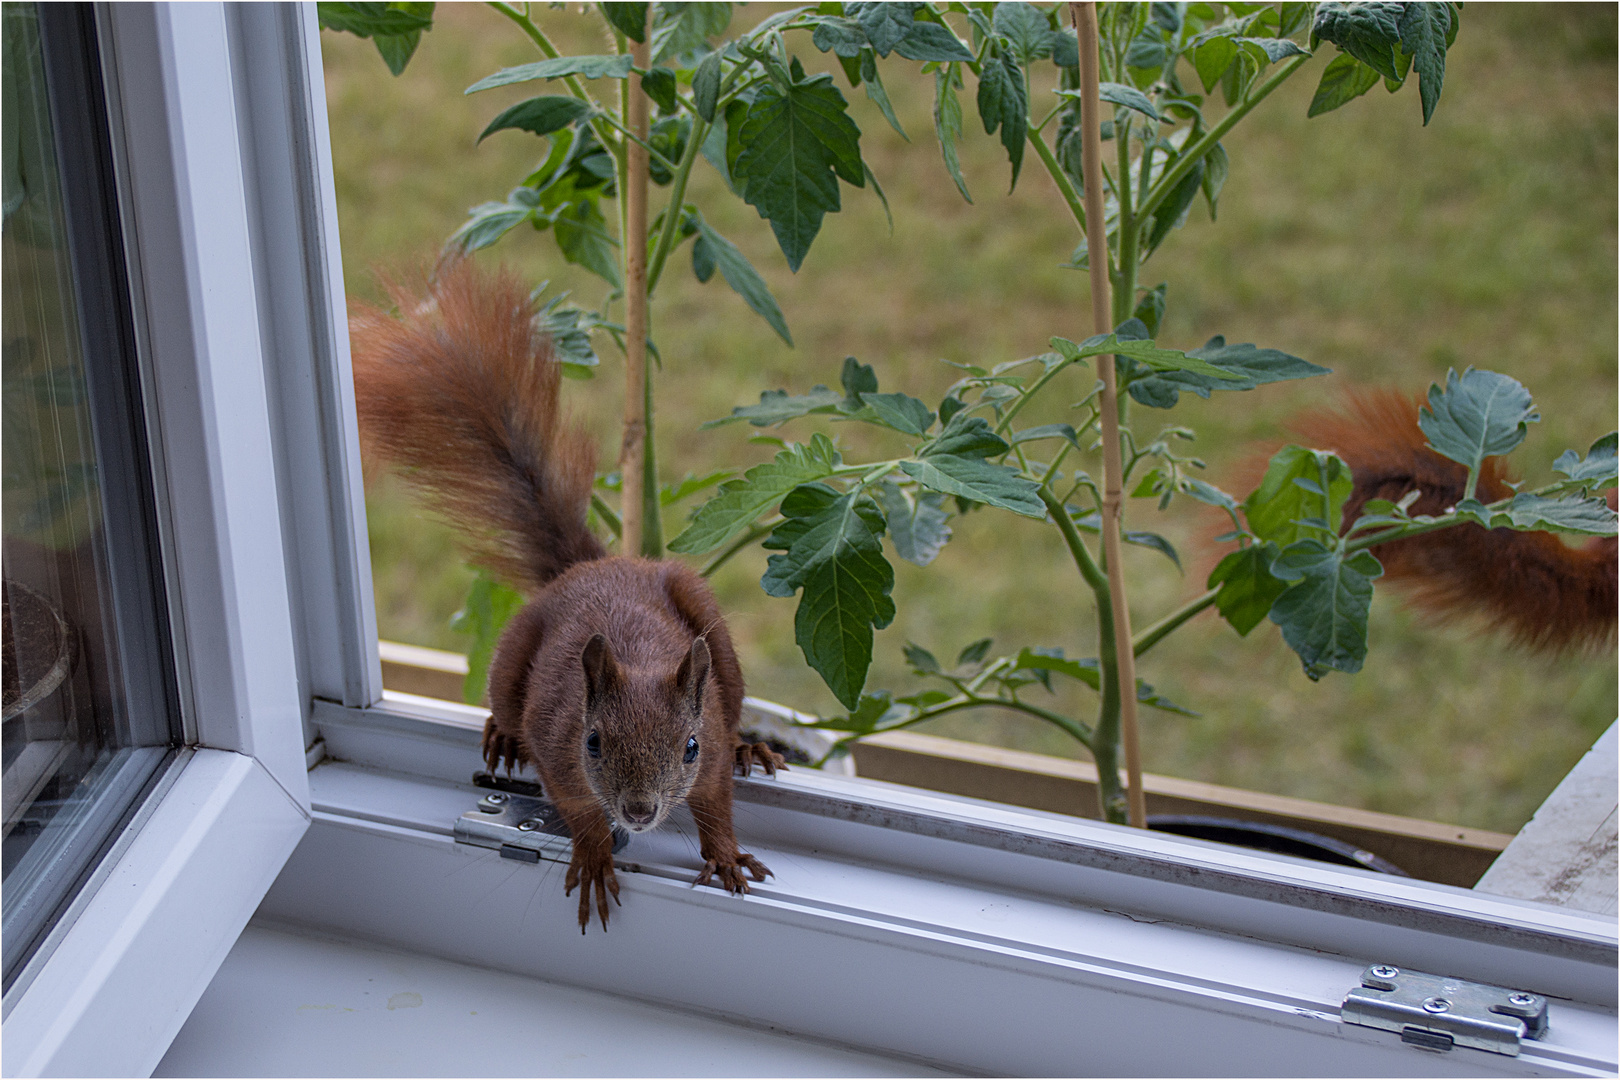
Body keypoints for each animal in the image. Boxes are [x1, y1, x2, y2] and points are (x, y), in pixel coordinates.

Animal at [353, 259, 784, 932]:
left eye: (688, 747)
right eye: (593, 742)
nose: (638, 812)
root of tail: (591, 567)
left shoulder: (708, 748)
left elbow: (716, 804)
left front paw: (725, 855)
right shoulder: (558, 749)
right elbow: (579, 810)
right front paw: (596, 856)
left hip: (712, 631)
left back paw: (753, 745)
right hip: (512, 652)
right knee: (507, 704)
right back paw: (503, 737)